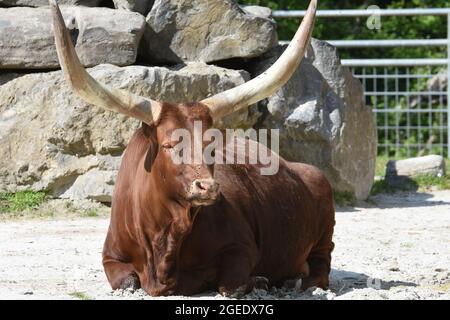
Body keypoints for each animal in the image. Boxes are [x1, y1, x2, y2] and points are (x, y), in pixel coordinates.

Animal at [51, 0, 336, 296]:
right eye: (168, 144)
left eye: (212, 144)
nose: (207, 187)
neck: (167, 233)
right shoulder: (111, 256)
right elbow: (126, 281)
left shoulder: (241, 247)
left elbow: (230, 284)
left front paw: (259, 280)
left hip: (324, 217)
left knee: (322, 262)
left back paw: (301, 281)